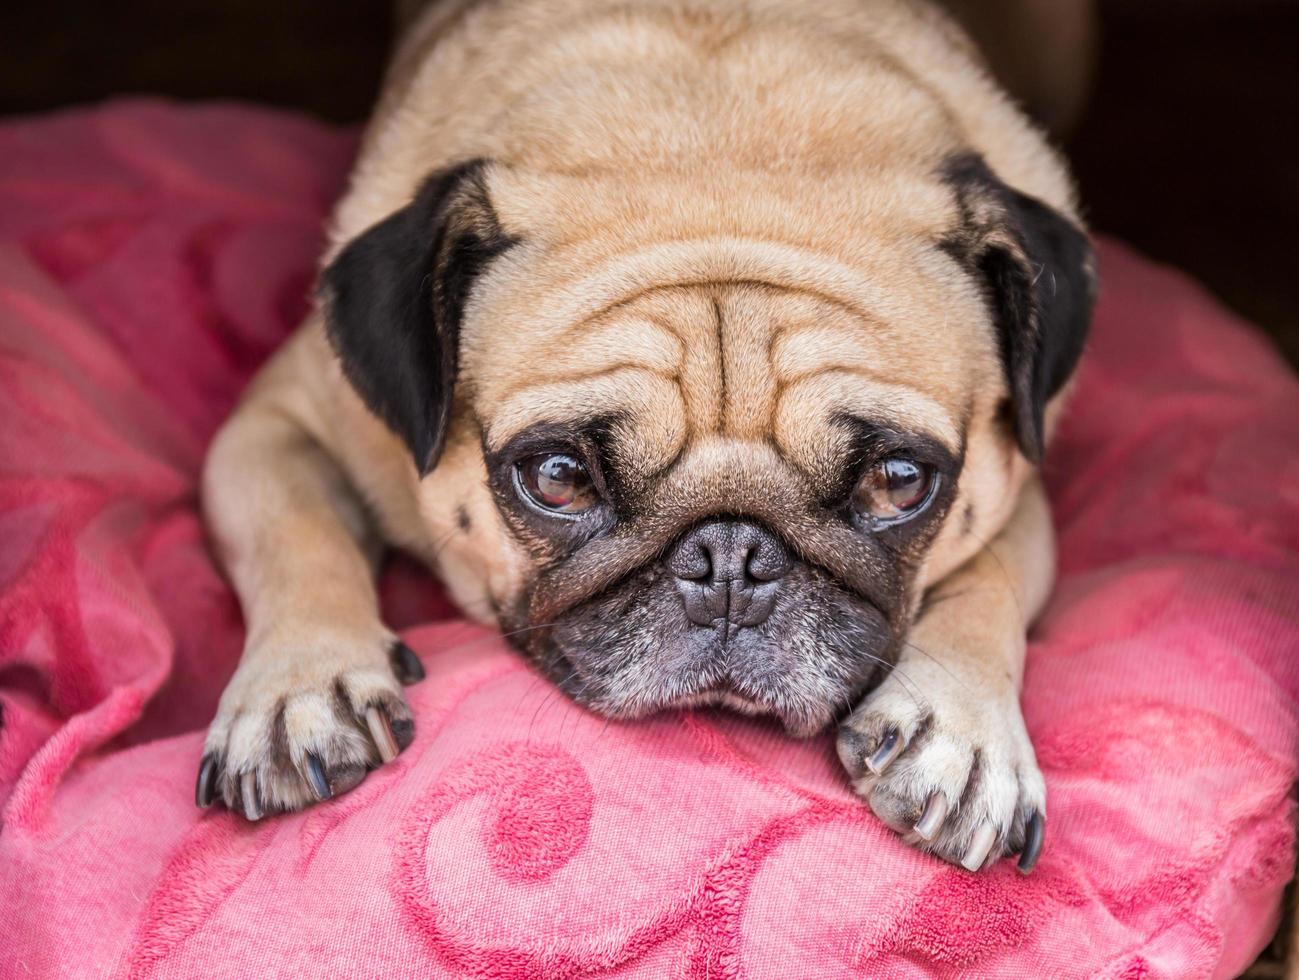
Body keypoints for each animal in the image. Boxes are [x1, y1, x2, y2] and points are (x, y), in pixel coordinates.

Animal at [197, 0, 1096, 868]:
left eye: (899, 482)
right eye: (557, 476)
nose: (730, 560)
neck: (714, 145)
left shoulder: (1015, 489)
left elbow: (986, 584)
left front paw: (961, 732)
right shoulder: (277, 421)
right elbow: (297, 533)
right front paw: (300, 690)